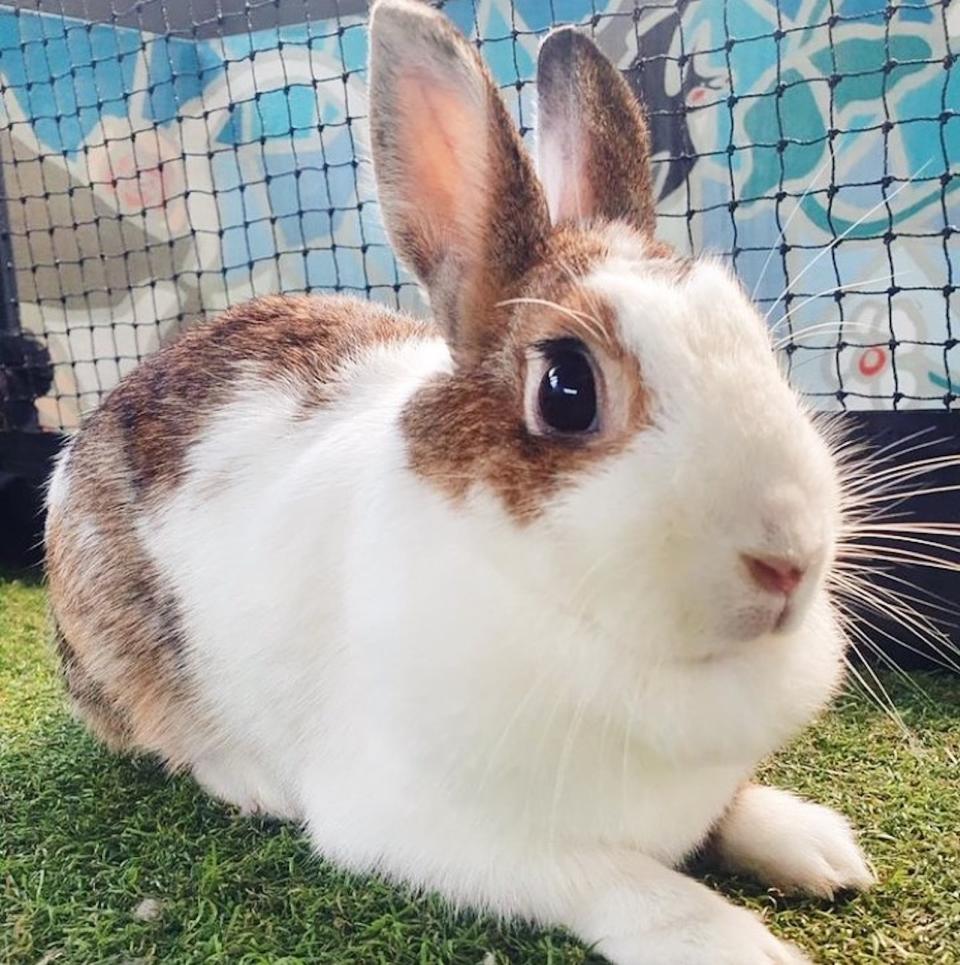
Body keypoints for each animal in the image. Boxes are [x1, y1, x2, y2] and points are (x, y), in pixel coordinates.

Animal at [45, 3, 872, 960]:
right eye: (566, 389)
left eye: (749, 335)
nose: (791, 561)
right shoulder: (447, 828)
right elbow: (622, 878)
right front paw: (733, 940)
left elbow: (726, 806)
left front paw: (817, 843)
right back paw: (249, 778)